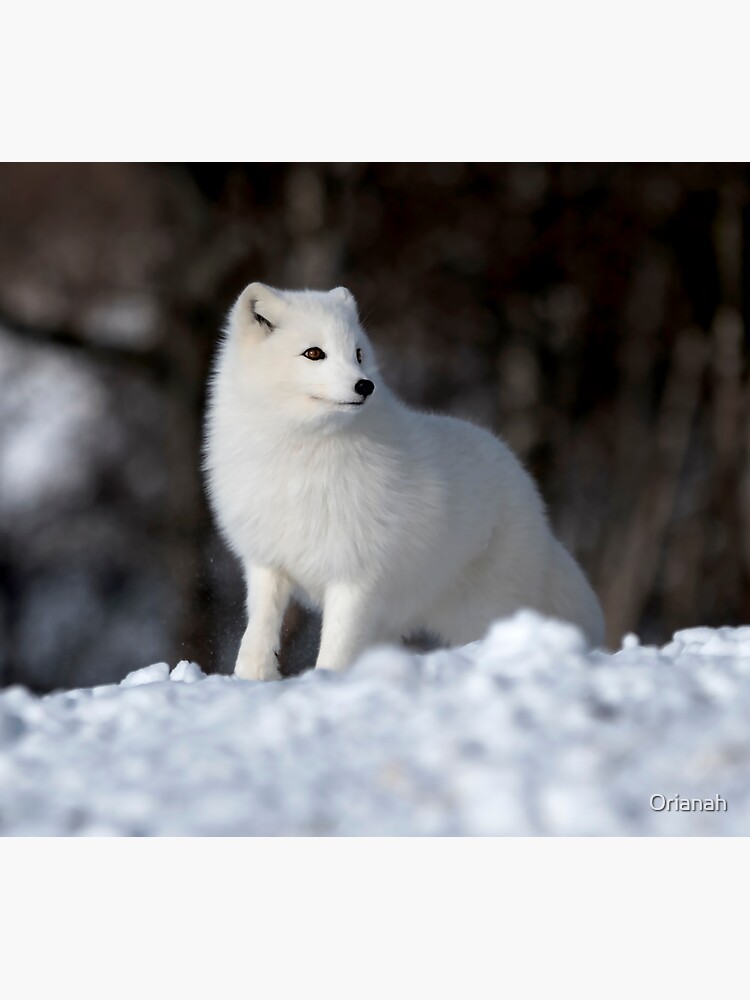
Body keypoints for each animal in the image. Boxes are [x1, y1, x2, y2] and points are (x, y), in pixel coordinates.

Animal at [203, 286, 604, 684]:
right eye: (314, 353)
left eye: (358, 354)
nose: (365, 385)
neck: (302, 454)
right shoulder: (267, 560)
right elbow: (258, 628)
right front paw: (252, 677)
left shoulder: (356, 572)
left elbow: (336, 646)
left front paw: (326, 682)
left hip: (481, 607)